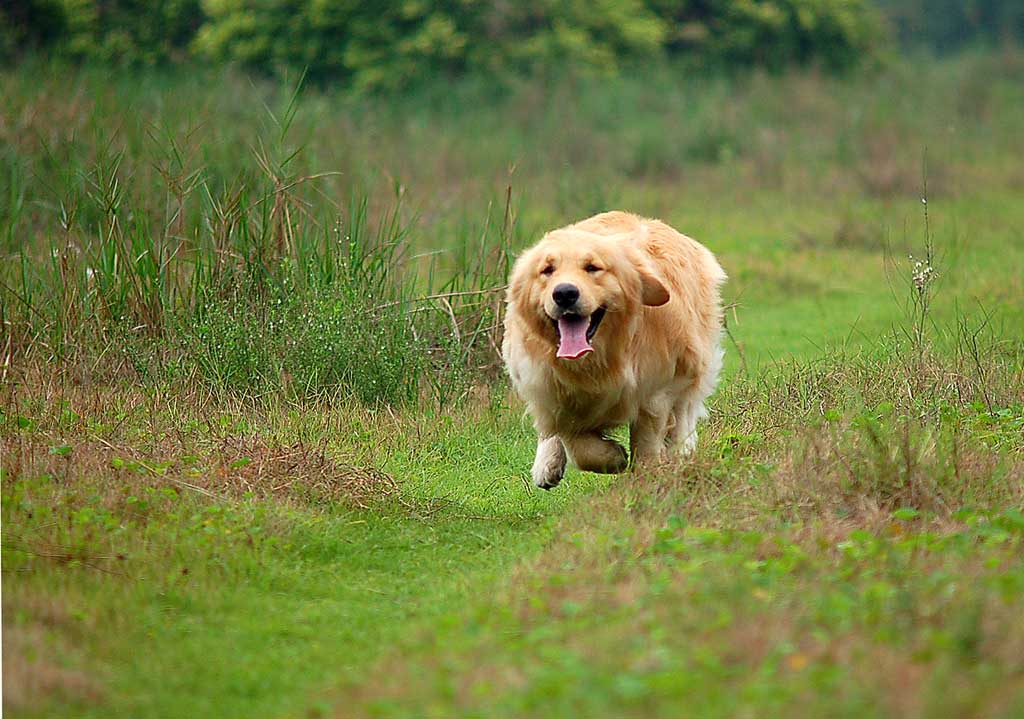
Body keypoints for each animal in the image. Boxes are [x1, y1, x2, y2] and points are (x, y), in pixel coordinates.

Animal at [503, 209, 729, 489]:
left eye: (592, 267)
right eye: (547, 270)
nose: (564, 293)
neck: (598, 360)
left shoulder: (656, 392)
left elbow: (647, 440)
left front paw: (647, 476)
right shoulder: (552, 391)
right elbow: (576, 442)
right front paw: (612, 457)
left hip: (694, 361)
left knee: (685, 409)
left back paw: (681, 448)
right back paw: (547, 463)